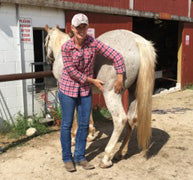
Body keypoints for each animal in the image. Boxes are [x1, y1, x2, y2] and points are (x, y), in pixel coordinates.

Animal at [43, 24, 155, 168]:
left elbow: (74, 116)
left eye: (46, 40)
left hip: (111, 94)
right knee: (131, 119)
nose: (48, 58)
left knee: (120, 120)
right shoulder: (86, 92)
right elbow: (88, 111)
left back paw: (106, 157)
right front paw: (90, 133)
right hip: (132, 92)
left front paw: (73, 138)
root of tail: (137, 41)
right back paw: (120, 152)